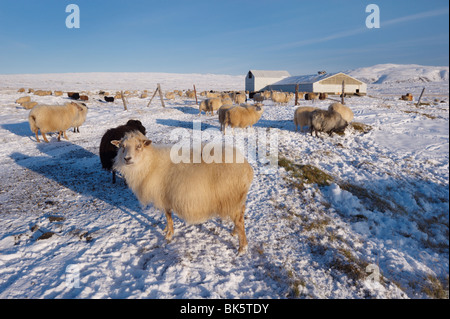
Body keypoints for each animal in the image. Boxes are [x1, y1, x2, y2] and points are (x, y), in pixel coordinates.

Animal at [111, 131, 255, 255]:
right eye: (122, 146)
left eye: (139, 146)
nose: (127, 159)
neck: (150, 163)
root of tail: (247, 168)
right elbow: (167, 216)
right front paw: (166, 229)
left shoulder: (165, 197)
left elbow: (168, 216)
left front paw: (169, 235)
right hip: (237, 199)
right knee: (241, 214)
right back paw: (234, 232)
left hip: (231, 197)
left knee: (239, 221)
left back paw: (242, 248)